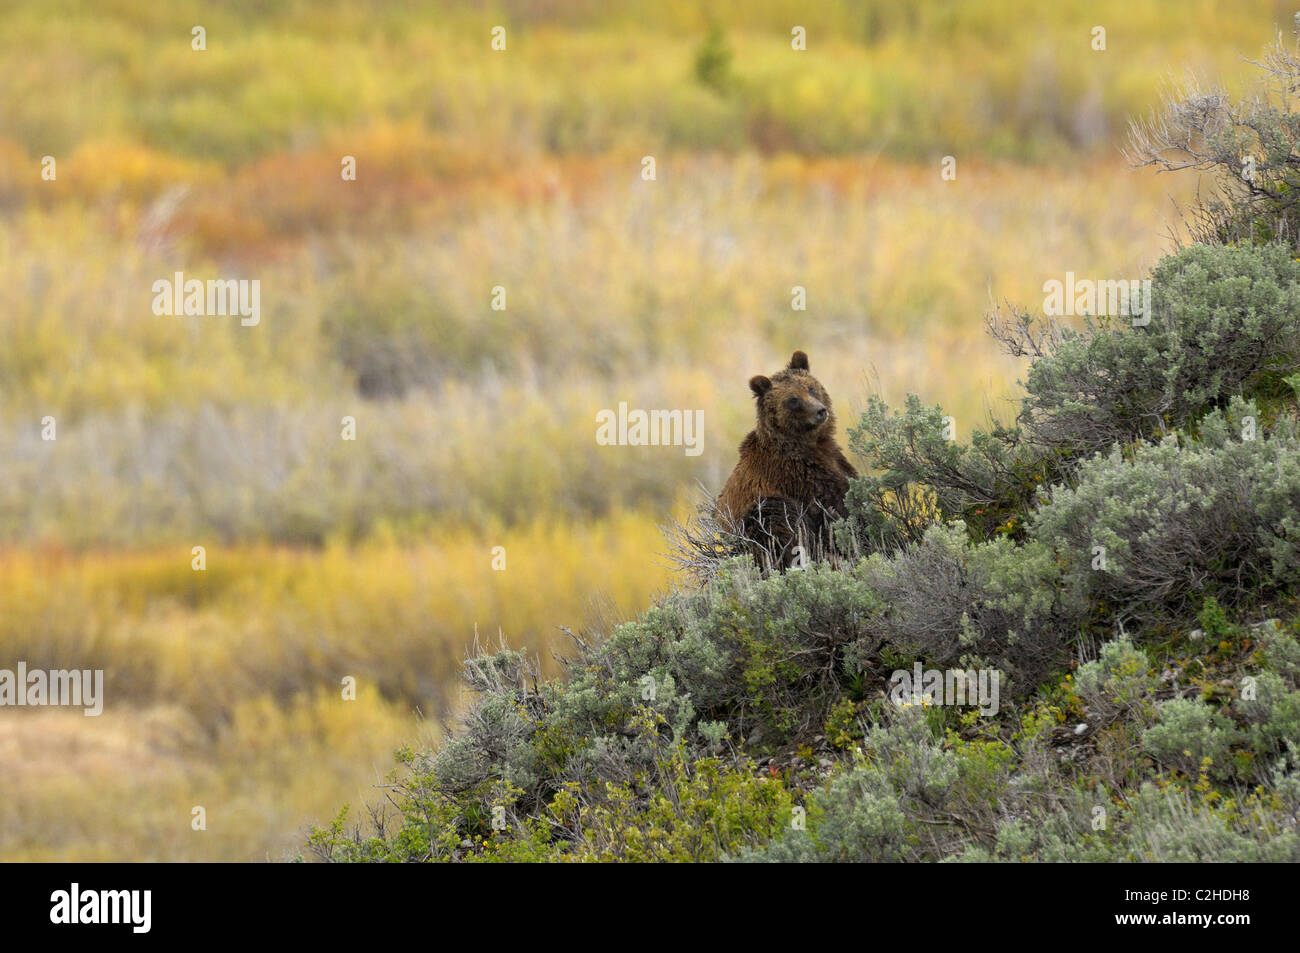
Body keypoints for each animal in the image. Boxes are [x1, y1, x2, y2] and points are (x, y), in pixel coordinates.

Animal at [717, 351, 857, 569]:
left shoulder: (834, 459)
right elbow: (837, 506)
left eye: (810, 388)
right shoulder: (798, 476)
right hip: (759, 514)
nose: (820, 411)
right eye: (793, 400)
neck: (807, 444)